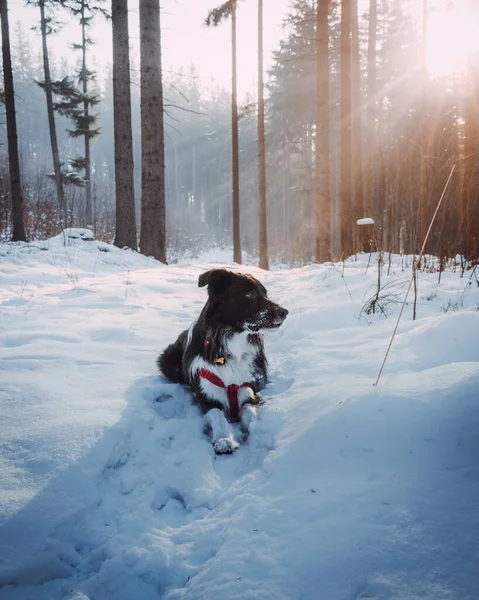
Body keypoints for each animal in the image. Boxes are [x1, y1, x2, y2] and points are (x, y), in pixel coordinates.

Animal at [158, 270, 288, 452]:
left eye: (265, 293)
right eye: (249, 294)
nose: (285, 312)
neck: (231, 342)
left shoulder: (248, 391)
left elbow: (249, 412)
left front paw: (256, 430)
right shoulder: (207, 396)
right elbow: (218, 415)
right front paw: (224, 439)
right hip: (167, 360)